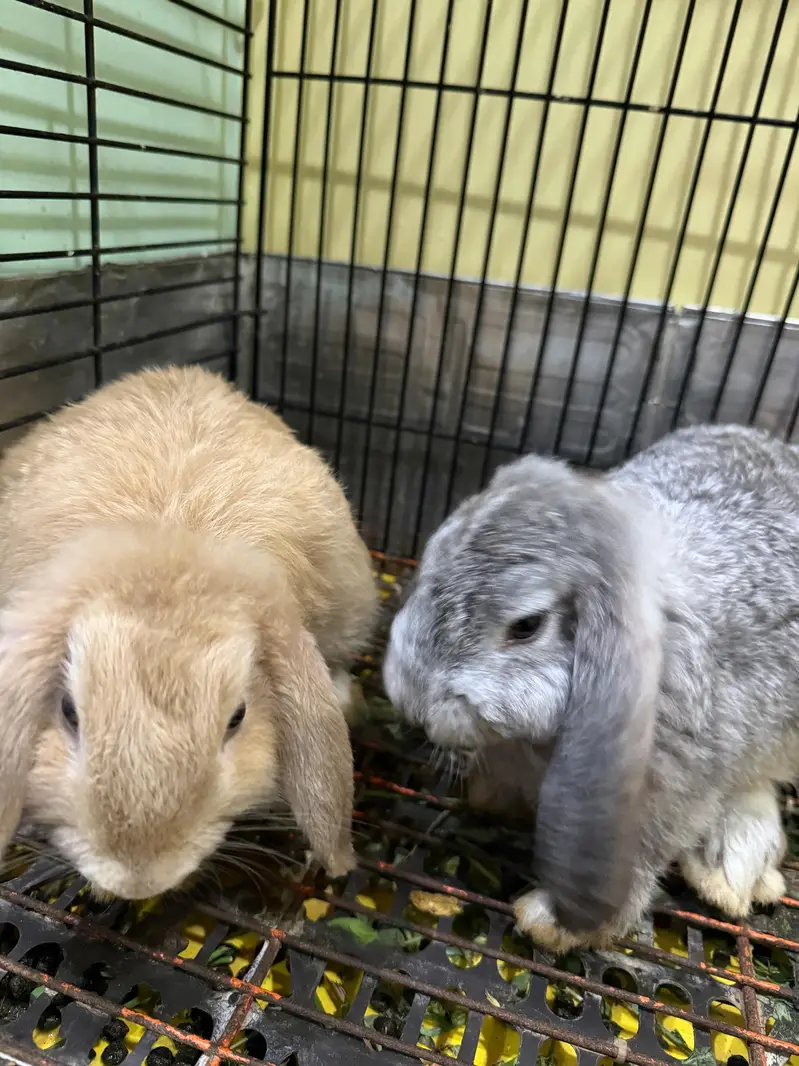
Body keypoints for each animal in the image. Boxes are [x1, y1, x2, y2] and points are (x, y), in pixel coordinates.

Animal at [383, 424, 799, 951]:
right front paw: (489, 799)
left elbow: (642, 856)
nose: (409, 699)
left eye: (527, 626)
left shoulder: (661, 793)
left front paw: (550, 924)